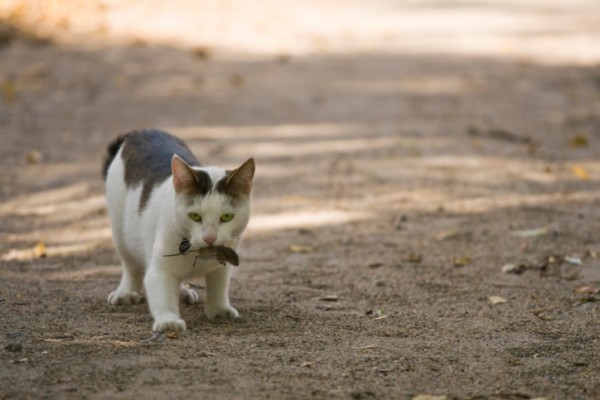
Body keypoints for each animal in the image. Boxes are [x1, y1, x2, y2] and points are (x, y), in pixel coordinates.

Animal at [103, 130, 253, 332]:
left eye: (226, 217)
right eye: (195, 216)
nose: (210, 238)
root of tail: (139, 132)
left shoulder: (224, 260)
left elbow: (218, 284)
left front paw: (219, 308)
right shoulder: (159, 270)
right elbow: (162, 291)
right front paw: (168, 320)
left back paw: (181, 291)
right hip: (121, 231)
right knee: (130, 265)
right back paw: (126, 291)